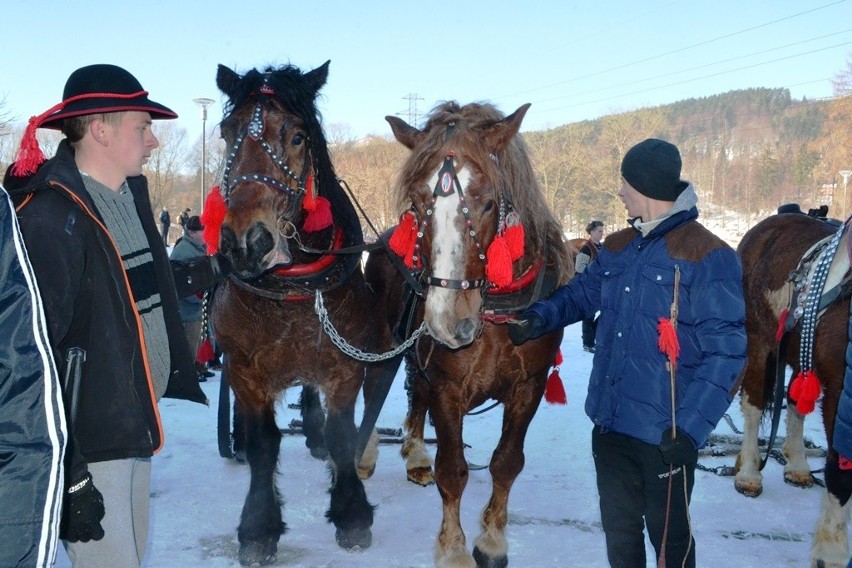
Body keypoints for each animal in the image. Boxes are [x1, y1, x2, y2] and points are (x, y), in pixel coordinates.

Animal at [206, 61, 382, 564]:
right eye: (226, 132)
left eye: (298, 136)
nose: (246, 242)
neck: (293, 289)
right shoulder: (243, 369)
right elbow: (264, 444)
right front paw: (259, 527)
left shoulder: (346, 366)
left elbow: (344, 436)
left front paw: (351, 513)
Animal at [364, 102, 572, 568]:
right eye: (418, 202)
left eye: (489, 202)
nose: (448, 320)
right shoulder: (448, 386)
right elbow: (453, 469)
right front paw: (453, 548)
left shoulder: (529, 385)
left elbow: (506, 462)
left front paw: (492, 540)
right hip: (384, 342)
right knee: (371, 390)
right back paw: (365, 453)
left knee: (415, 394)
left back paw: (415, 454)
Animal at [732, 213, 852, 568]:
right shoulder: (841, 394)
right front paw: (831, 552)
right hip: (759, 340)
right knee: (754, 403)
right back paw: (748, 473)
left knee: (796, 399)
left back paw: (798, 466)